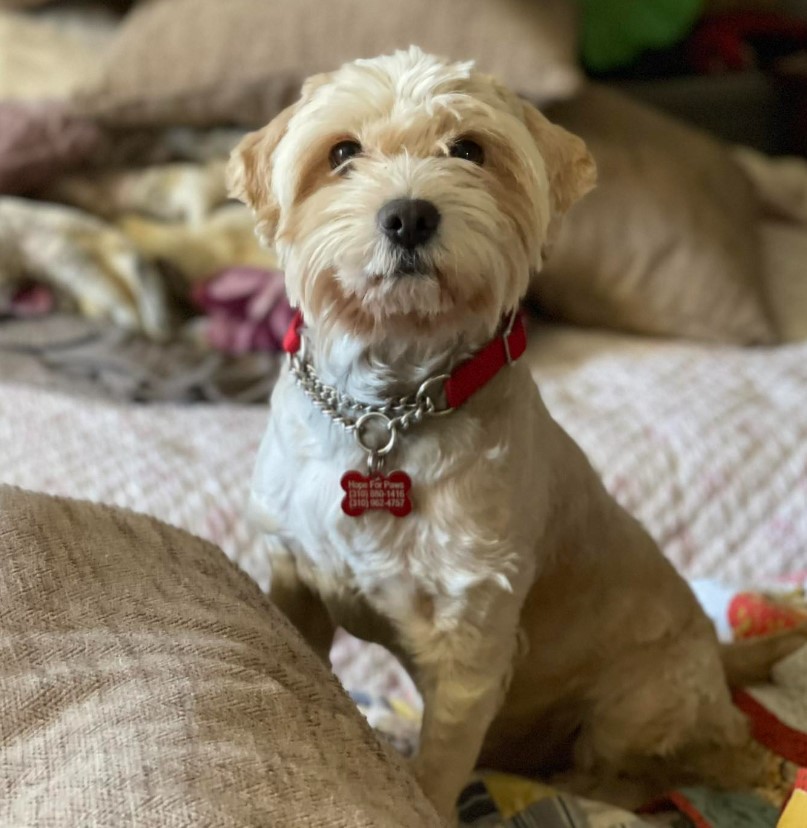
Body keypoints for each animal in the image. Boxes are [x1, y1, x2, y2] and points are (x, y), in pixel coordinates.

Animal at [227, 48, 807, 820]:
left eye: (469, 150)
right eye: (342, 152)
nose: (408, 215)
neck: (389, 408)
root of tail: (716, 654)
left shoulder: (472, 632)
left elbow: (439, 764)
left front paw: (423, 799)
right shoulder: (296, 577)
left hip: (638, 701)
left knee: (670, 765)